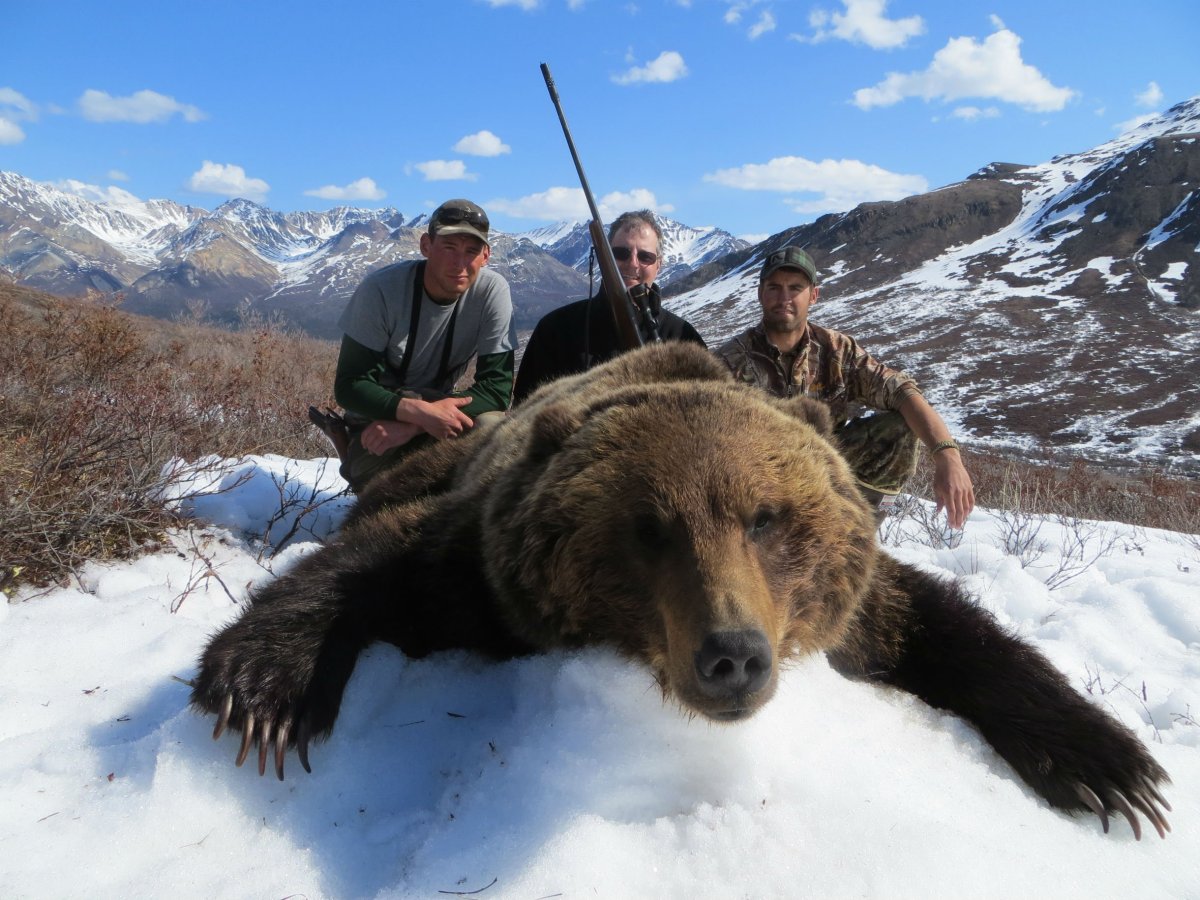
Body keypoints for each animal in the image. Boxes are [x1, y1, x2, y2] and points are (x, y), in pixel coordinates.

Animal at [191, 341, 1171, 840]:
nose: (733, 655)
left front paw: (1111, 767)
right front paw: (264, 692)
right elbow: (375, 563)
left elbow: (943, 625)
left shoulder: (858, 606)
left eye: (767, 519)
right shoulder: (485, 572)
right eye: (649, 526)